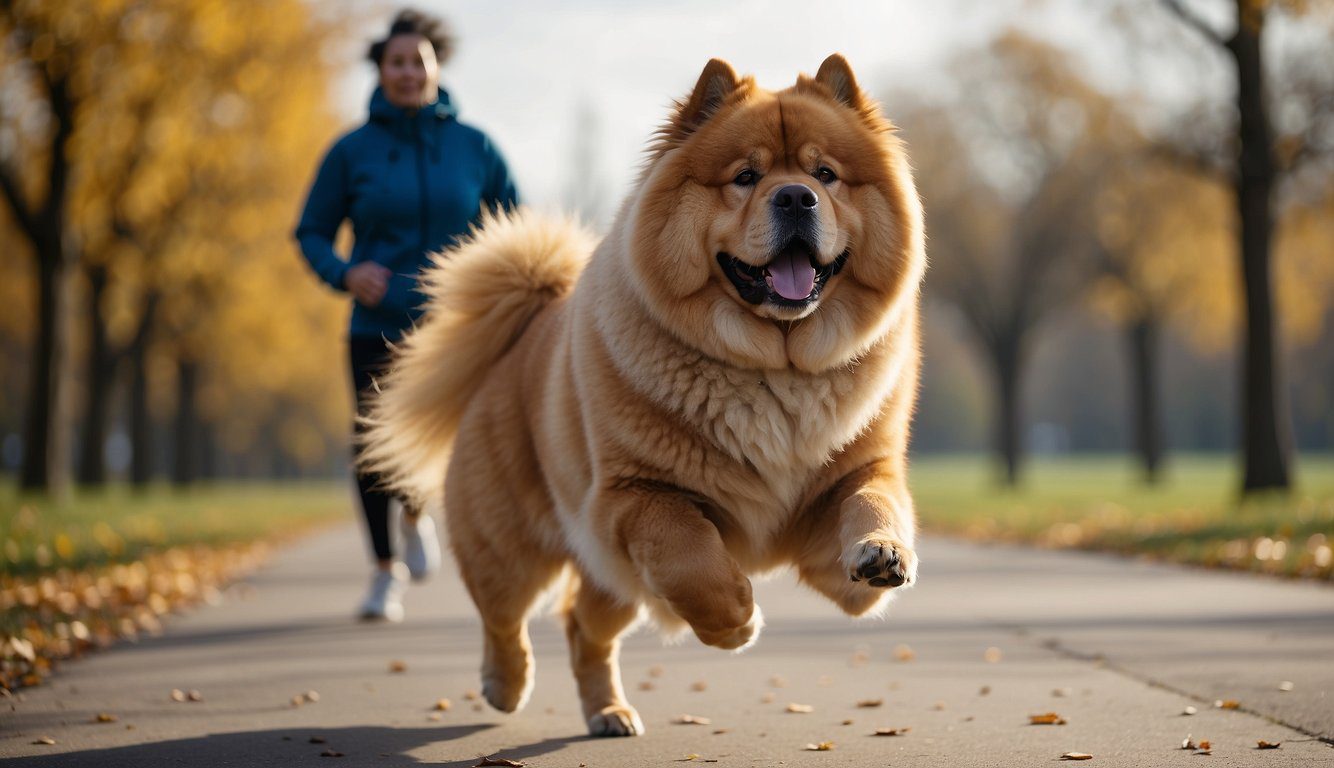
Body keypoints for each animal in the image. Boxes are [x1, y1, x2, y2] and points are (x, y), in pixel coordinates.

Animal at [365, 54, 928, 736]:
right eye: (745, 177)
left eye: (826, 174)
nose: (796, 195)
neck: (777, 371)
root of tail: (521, 334)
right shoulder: (636, 495)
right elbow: (692, 557)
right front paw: (735, 622)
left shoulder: (844, 490)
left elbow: (873, 501)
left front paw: (882, 554)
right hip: (514, 548)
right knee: (504, 616)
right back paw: (505, 687)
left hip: (612, 584)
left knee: (584, 629)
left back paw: (610, 713)